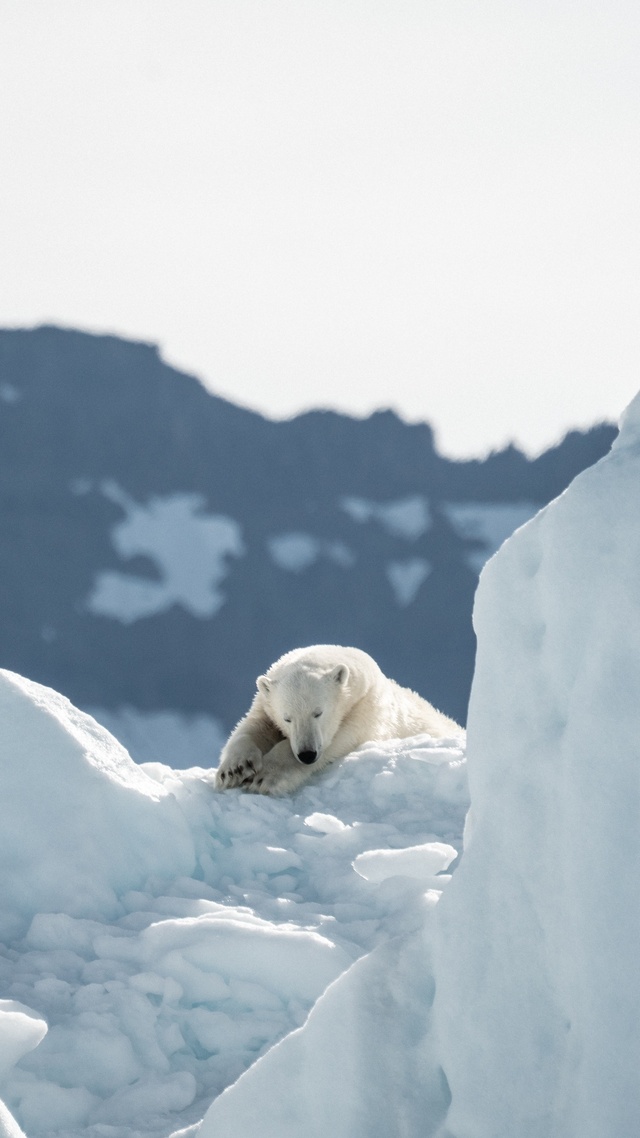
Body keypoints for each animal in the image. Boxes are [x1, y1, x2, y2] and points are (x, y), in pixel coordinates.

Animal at [212, 646, 457, 796]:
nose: (307, 754)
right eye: (287, 718)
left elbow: (338, 740)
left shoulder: (365, 711)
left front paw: (264, 777)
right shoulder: (265, 704)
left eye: (318, 712)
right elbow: (253, 727)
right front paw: (235, 770)